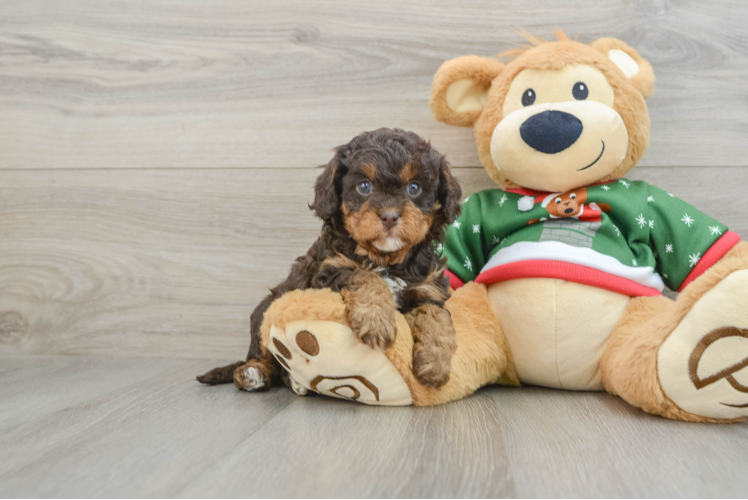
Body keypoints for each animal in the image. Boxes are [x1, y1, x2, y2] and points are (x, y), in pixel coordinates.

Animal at [196, 130, 462, 394]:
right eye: (364, 186)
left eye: (414, 188)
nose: (389, 216)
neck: (385, 258)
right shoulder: (327, 272)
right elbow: (364, 275)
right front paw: (376, 321)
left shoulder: (428, 287)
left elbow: (436, 313)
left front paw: (435, 362)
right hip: (266, 312)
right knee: (267, 355)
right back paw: (254, 374)